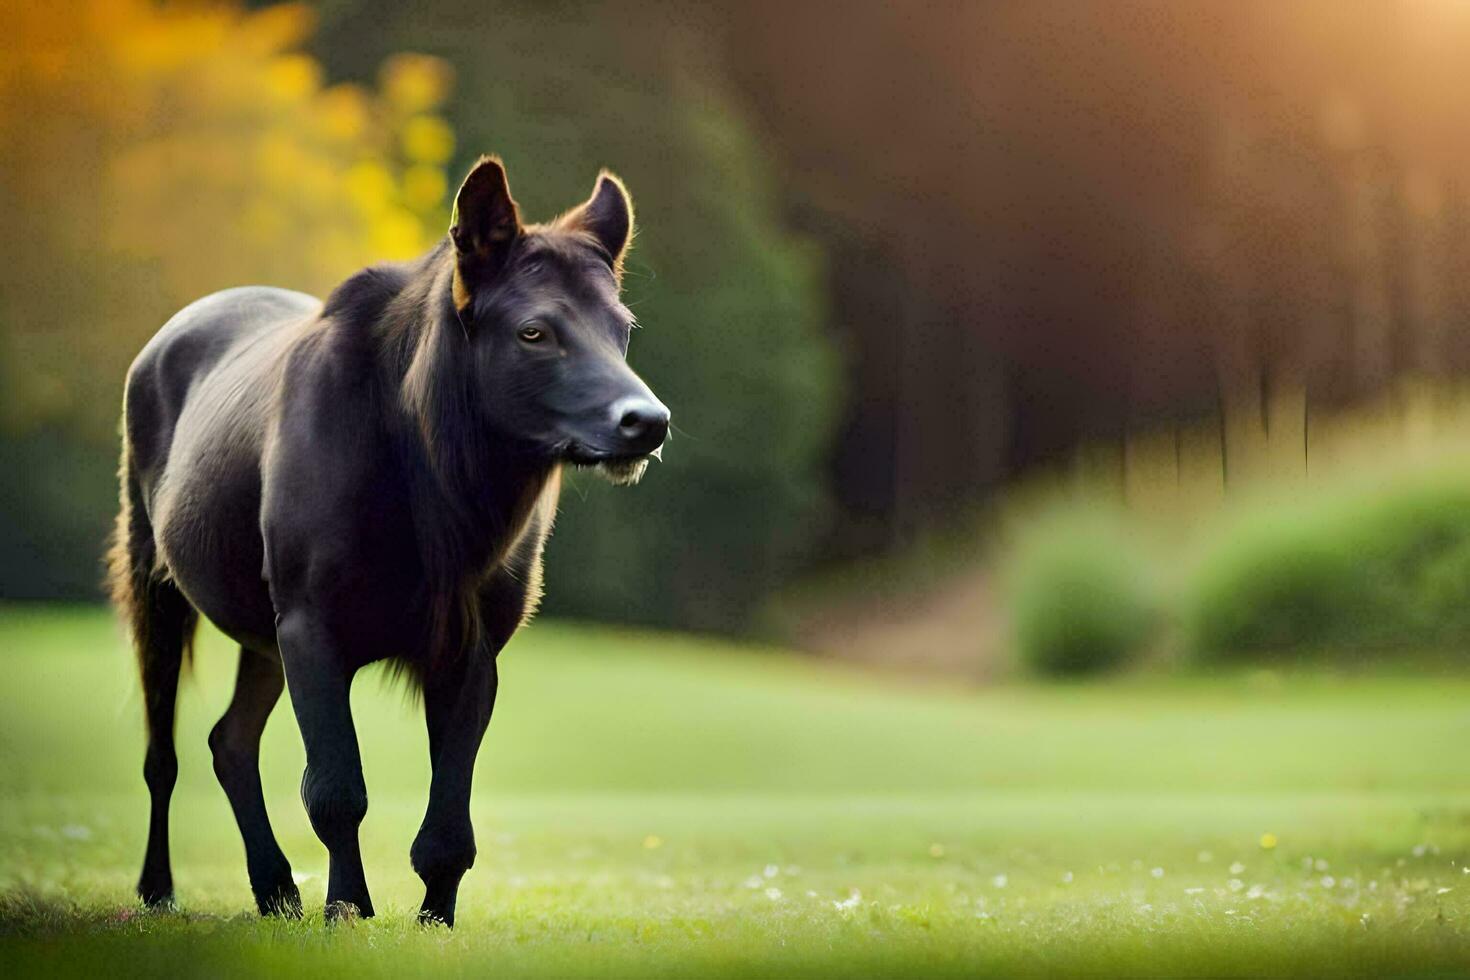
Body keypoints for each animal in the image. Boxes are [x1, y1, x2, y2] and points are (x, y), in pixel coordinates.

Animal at [106, 157, 670, 922]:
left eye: (623, 328)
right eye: (534, 331)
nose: (647, 421)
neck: (442, 489)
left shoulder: (472, 640)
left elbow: (450, 824)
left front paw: (433, 916)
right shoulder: (311, 620)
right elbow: (336, 789)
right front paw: (348, 905)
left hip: (260, 630)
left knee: (230, 740)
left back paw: (275, 887)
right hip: (154, 578)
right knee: (160, 752)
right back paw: (158, 887)